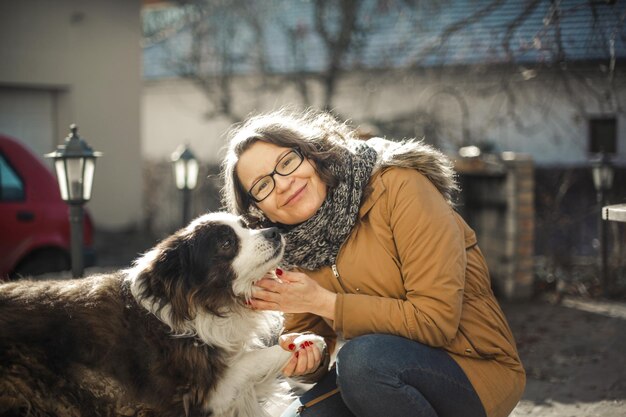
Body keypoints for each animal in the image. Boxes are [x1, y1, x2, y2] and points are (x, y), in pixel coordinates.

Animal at [1, 213, 326, 414]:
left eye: (245, 225)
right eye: (226, 242)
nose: (274, 232)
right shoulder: (200, 393)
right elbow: (248, 362)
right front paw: (304, 342)